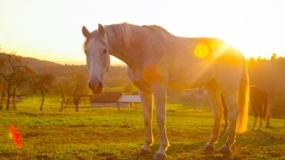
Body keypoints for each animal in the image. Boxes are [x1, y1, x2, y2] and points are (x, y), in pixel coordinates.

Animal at [80, 22, 248, 160]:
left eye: (104, 50)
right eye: (86, 51)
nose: (95, 85)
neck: (142, 49)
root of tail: (236, 51)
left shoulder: (159, 88)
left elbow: (161, 118)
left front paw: (161, 150)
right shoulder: (143, 90)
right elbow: (147, 118)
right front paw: (145, 147)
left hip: (228, 89)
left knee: (233, 114)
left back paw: (226, 146)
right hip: (212, 87)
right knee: (218, 113)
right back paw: (210, 144)